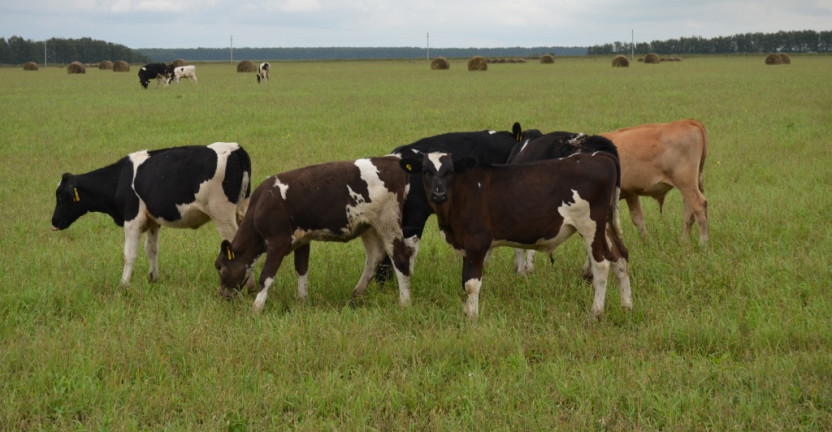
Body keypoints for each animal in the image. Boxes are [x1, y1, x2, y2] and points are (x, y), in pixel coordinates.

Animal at [51, 142, 250, 286]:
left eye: (61, 195)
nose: (53, 222)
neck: (119, 179)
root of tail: (236, 149)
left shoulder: (132, 220)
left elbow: (129, 253)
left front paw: (123, 284)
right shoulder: (153, 221)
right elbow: (151, 249)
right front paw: (153, 278)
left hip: (223, 216)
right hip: (243, 210)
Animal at [214, 157, 416, 312]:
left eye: (220, 267)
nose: (223, 295)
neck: (262, 204)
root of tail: (392, 161)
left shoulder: (278, 243)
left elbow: (266, 276)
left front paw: (256, 308)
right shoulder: (302, 241)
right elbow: (302, 270)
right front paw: (302, 302)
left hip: (388, 221)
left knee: (399, 258)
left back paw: (404, 303)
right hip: (369, 227)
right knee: (374, 258)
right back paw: (355, 296)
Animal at [402, 152, 632, 320]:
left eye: (450, 171)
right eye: (426, 171)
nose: (438, 194)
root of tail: (599, 156)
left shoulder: (477, 242)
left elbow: (471, 283)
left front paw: (472, 317)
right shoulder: (466, 246)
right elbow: (465, 281)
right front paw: (467, 311)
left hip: (591, 226)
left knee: (602, 264)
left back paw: (596, 312)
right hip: (606, 225)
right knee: (620, 257)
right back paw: (626, 306)